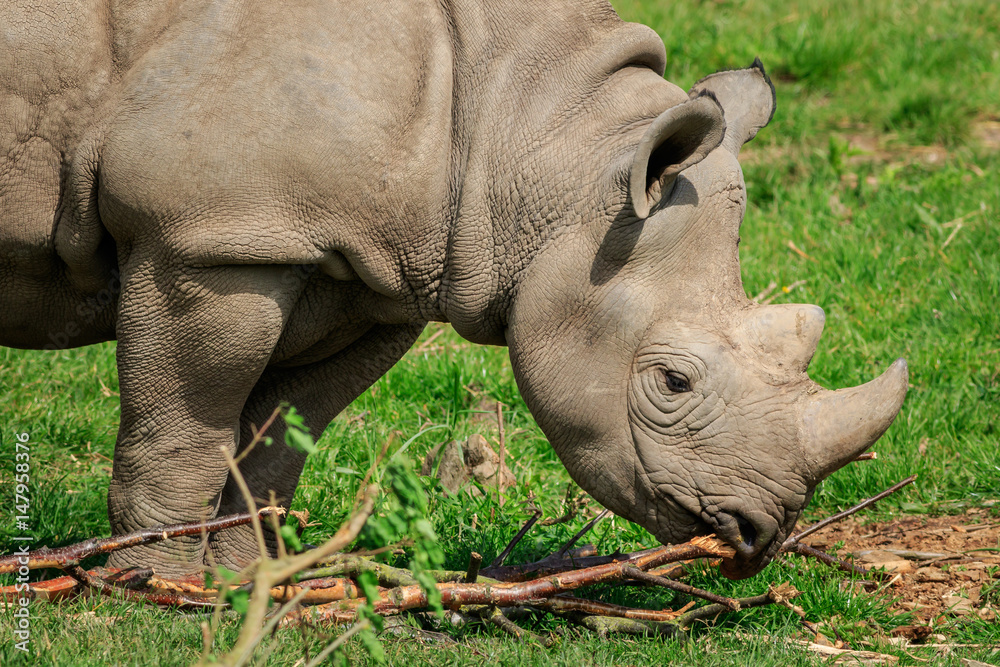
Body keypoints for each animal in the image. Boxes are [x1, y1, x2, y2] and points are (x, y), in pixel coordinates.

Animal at [0, 0, 907, 579]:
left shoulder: (371, 273)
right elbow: (184, 430)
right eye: (673, 382)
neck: (538, 131)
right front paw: (156, 589)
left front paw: (243, 583)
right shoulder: (209, 237)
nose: (759, 531)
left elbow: (281, 433)